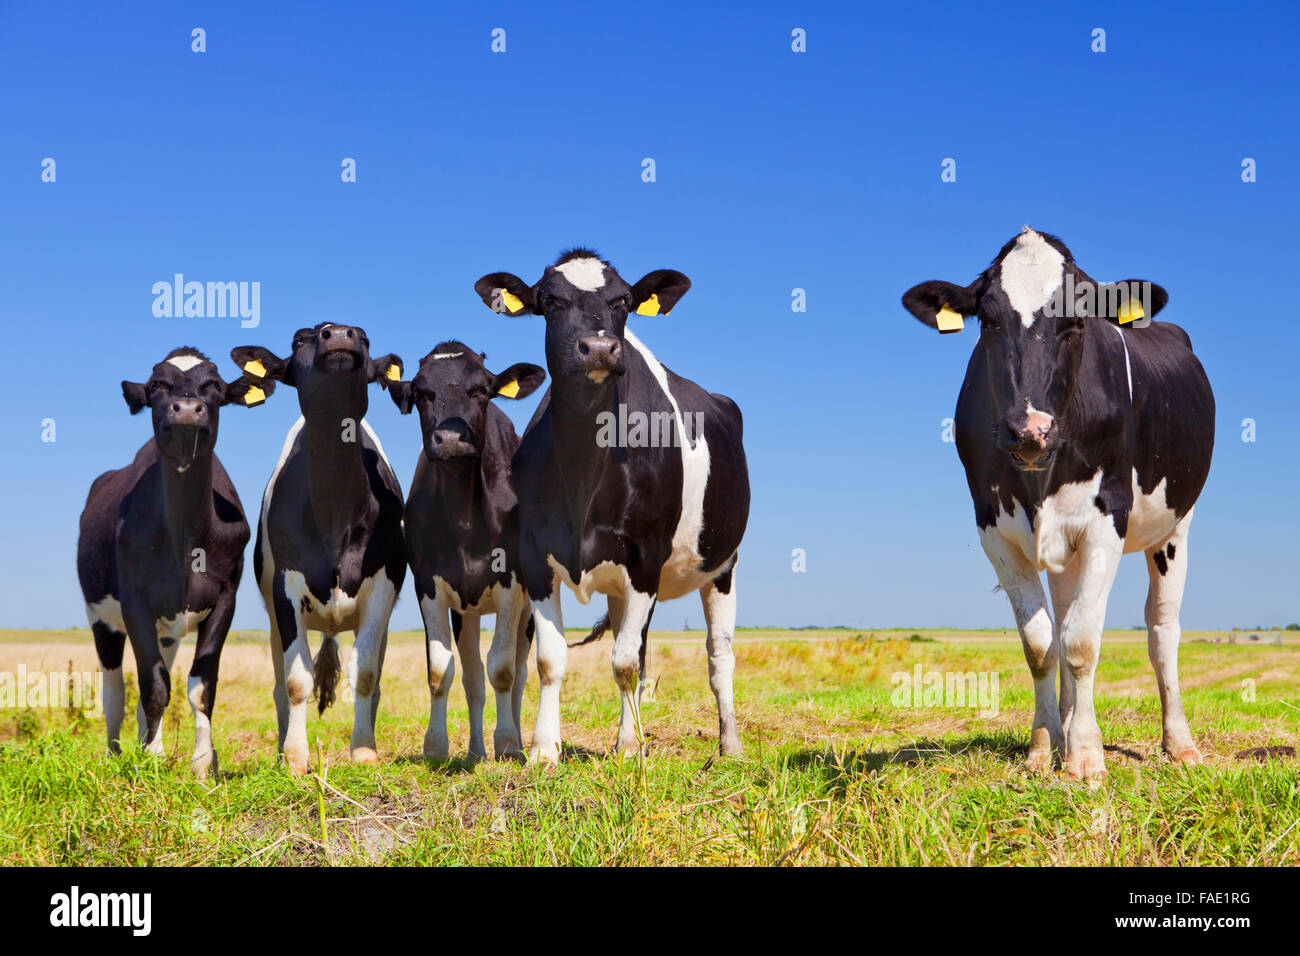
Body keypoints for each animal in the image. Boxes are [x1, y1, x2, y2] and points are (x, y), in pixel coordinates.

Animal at [77, 347, 269, 778]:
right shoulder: (134, 601)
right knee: (115, 692)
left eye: (214, 386)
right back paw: (117, 754)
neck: (186, 535)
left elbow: (201, 685)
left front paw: (202, 764)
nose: (186, 409)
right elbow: (153, 686)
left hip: (168, 630)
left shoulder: (225, 597)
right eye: (157, 387)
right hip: (101, 619)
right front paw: (150, 759)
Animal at [230, 324, 406, 774]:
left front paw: (363, 750)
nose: (340, 333)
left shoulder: (382, 587)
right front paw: (294, 758)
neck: (333, 512)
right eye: (298, 340)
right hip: (274, 620)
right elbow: (296, 682)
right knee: (279, 684)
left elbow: (366, 674)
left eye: (365, 338)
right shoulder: (286, 589)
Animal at [387, 342, 546, 761]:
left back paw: (516, 740)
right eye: (422, 393)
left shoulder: (512, 582)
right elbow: (441, 668)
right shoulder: (428, 584)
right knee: (473, 675)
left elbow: (504, 669)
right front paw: (435, 745)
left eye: (481, 390)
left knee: (519, 673)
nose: (450, 438)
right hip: (467, 610)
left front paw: (507, 743)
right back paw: (476, 750)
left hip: (526, 610)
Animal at [473, 249, 751, 764]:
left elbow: (623, 662)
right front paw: (545, 749)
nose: (600, 348)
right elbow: (551, 660)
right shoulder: (535, 556)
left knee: (717, 656)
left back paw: (730, 744)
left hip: (723, 564)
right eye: (550, 301)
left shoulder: (646, 557)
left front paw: (628, 747)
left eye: (623, 300)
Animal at [901, 227, 1215, 778]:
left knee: (1162, 631)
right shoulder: (994, 528)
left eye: (1076, 322)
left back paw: (1178, 743)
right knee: (1066, 612)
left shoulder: (1108, 516)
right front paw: (1045, 746)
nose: (1030, 431)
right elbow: (1043, 644)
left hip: (1175, 527)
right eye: (989, 321)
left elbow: (1082, 641)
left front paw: (1086, 758)